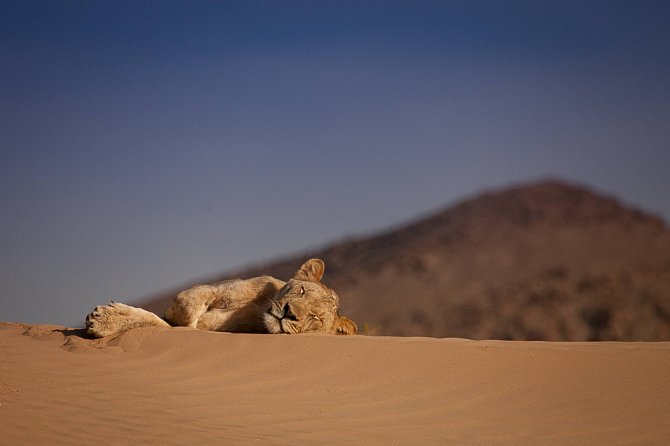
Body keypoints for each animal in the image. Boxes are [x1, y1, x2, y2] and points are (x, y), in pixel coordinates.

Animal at [86, 258, 360, 338]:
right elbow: (188, 305)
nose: (289, 313)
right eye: (301, 291)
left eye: (314, 317)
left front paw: (104, 320)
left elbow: (164, 325)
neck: (259, 308)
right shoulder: (219, 288)